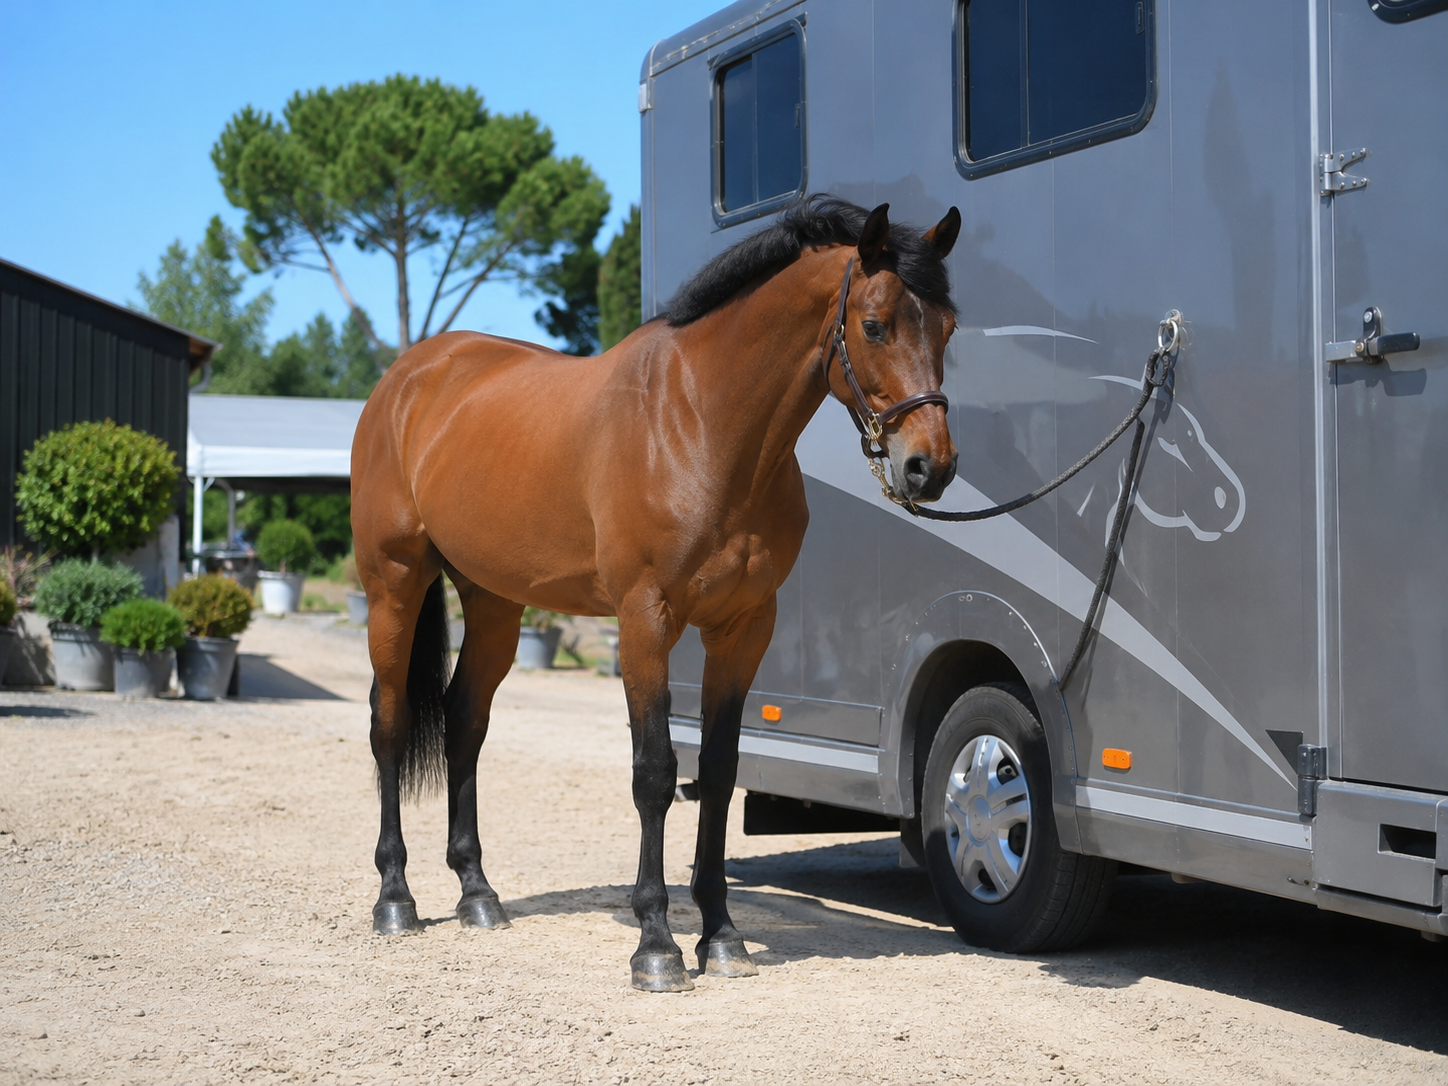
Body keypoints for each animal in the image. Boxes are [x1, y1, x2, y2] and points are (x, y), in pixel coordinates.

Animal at [350, 195, 962, 992]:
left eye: (948, 327)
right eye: (875, 323)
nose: (930, 468)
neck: (701, 426)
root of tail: (408, 376)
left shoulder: (744, 626)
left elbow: (721, 772)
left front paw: (723, 936)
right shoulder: (645, 621)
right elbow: (656, 771)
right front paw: (657, 944)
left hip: (494, 603)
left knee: (464, 721)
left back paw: (477, 893)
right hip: (393, 584)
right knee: (389, 725)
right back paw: (395, 895)